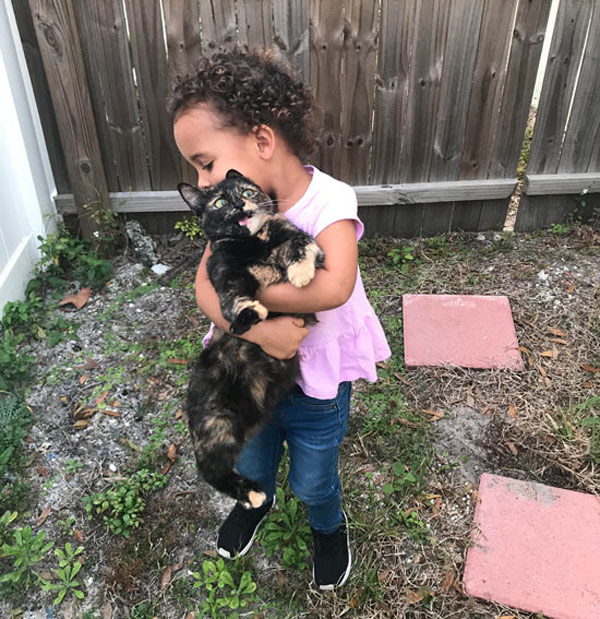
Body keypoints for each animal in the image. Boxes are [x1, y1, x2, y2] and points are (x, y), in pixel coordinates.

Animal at [178, 168, 324, 508]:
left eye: (246, 192)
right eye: (219, 202)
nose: (238, 206)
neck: (255, 242)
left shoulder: (295, 237)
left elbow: (300, 243)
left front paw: (300, 273)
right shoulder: (221, 267)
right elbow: (231, 294)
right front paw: (246, 313)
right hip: (217, 424)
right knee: (209, 471)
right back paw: (253, 494)